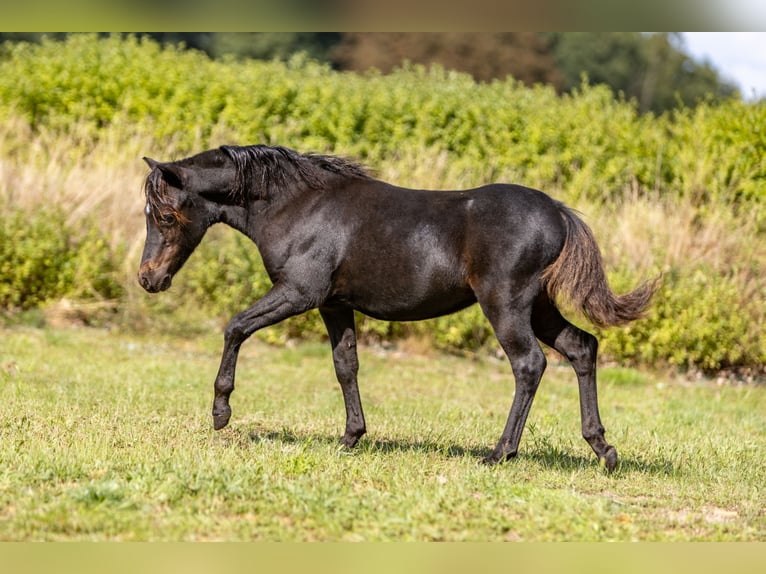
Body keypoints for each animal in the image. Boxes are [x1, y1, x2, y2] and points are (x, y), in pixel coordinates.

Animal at [138, 145, 660, 472]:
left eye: (165, 215)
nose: (149, 279)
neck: (299, 205)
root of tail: (557, 212)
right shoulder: (333, 305)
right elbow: (345, 365)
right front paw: (351, 436)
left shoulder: (299, 293)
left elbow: (235, 328)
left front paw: (220, 413)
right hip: (541, 308)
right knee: (582, 348)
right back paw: (602, 448)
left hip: (506, 304)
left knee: (530, 364)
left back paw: (501, 453)